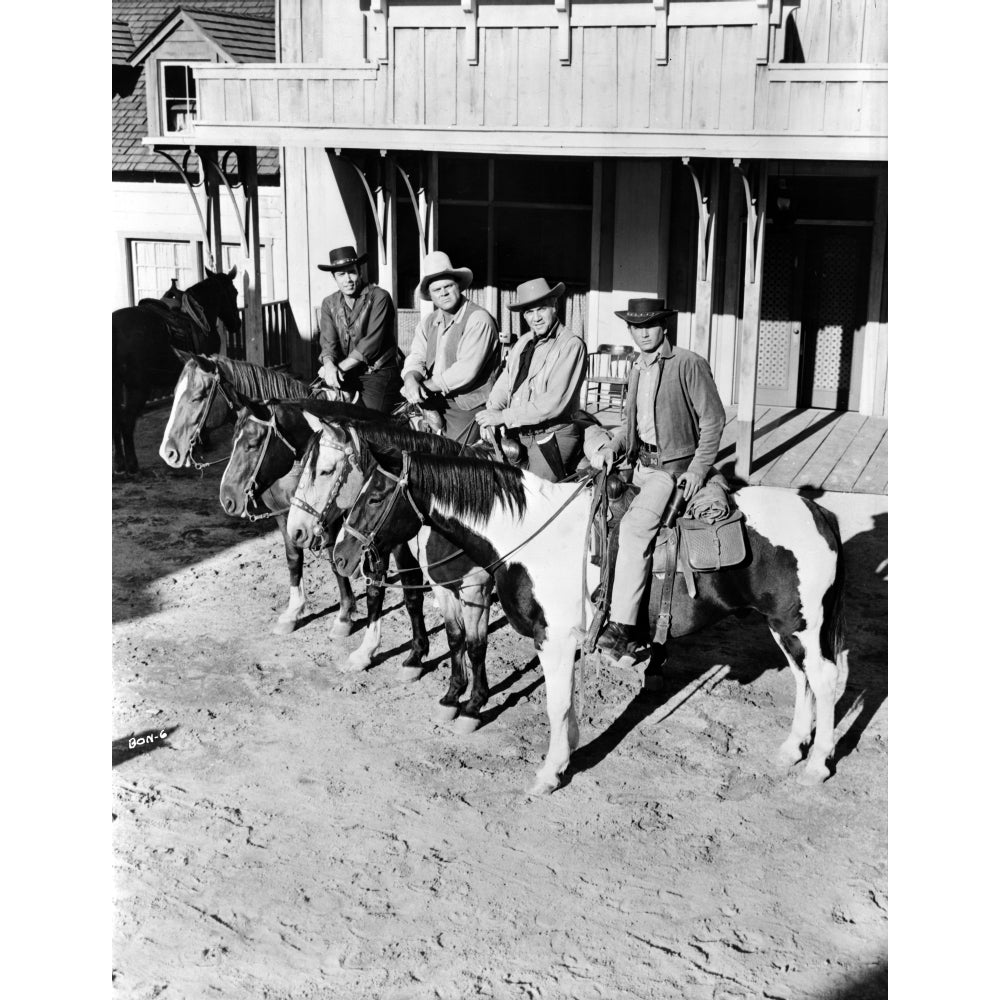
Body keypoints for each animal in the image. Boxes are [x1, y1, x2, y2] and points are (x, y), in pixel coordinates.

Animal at [112, 268, 242, 474]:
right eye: (234, 292)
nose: (236, 324)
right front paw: (203, 441)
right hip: (138, 388)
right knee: (126, 421)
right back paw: (132, 464)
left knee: (115, 420)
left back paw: (118, 463)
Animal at [334, 452, 844, 796]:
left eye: (376, 495)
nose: (340, 554)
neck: (529, 534)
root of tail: (819, 511)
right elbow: (564, 706)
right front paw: (566, 753)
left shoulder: (553, 640)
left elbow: (555, 705)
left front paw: (549, 771)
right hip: (784, 627)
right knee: (803, 678)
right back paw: (793, 747)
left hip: (799, 622)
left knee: (823, 679)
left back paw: (817, 763)